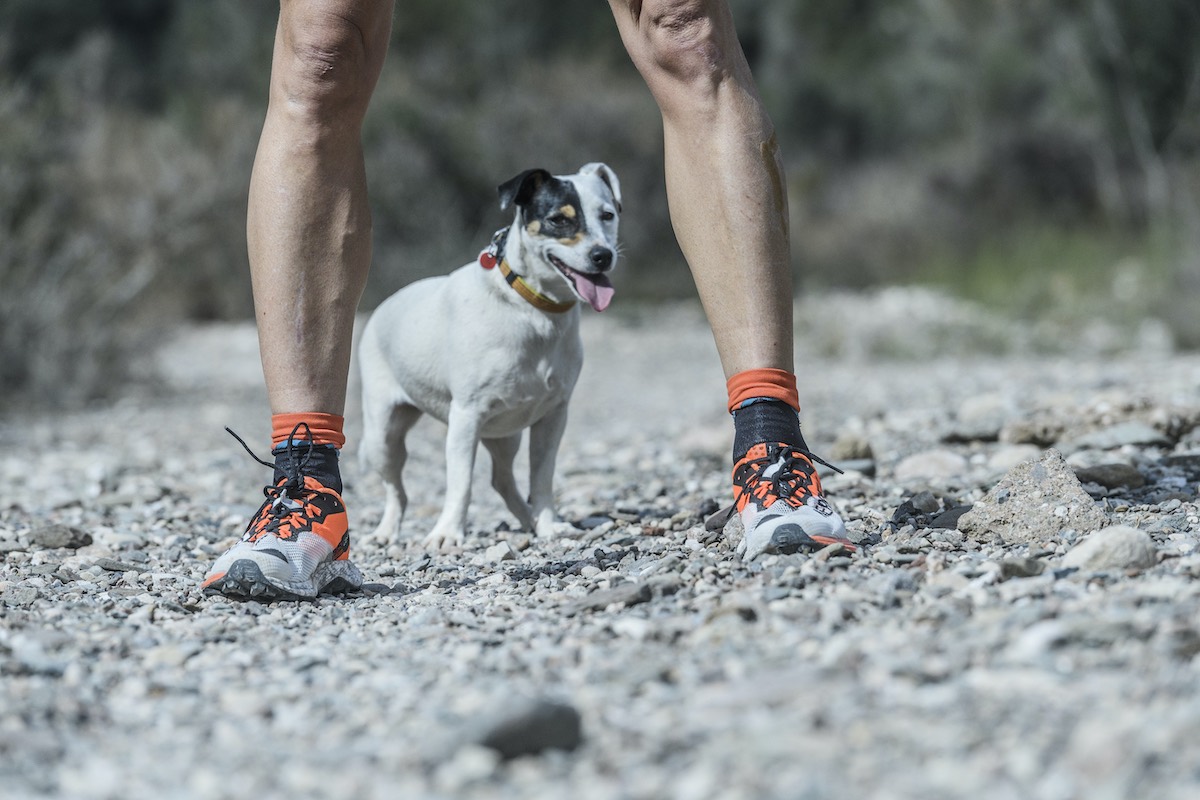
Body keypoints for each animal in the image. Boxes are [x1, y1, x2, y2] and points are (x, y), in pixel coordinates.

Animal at [357, 163, 624, 551]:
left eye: (608, 215)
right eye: (559, 220)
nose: (603, 255)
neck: (532, 308)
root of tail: (383, 306)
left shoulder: (553, 417)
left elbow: (541, 478)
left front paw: (549, 524)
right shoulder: (465, 417)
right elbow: (461, 483)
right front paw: (447, 533)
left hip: (505, 434)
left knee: (503, 479)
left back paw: (529, 521)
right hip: (383, 435)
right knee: (396, 490)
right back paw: (385, 531)